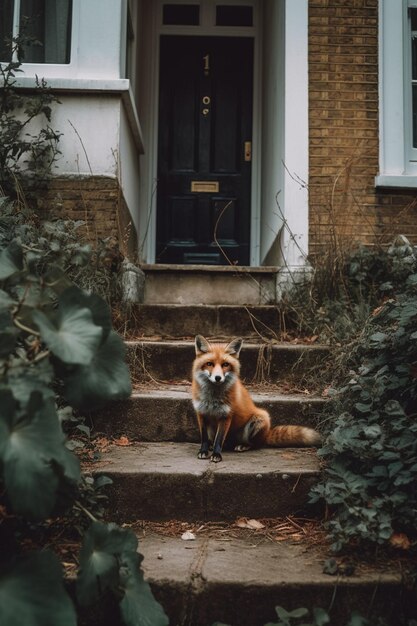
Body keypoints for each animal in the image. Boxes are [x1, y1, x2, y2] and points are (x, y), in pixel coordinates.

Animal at [190, 334, 320, 460]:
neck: (212, 398)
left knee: (256, 445)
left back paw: (243, 446)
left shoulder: (226, 415)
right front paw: (203, 451)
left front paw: (217, 455)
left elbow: (219, 440)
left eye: (225, 364)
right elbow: (204, 438)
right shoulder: (201, 413)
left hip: (260, 418)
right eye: (209, 364)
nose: (218, 378)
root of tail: (267, 434)